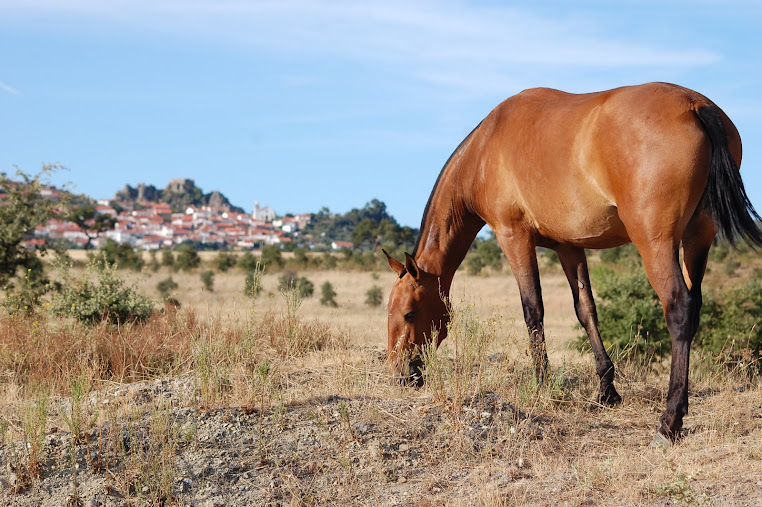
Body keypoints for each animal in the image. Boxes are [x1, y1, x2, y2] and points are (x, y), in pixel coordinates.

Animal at [386, 81, 760, 442]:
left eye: (409, 313)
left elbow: (532, 310)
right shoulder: (569, 247)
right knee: (693, 307)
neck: (484, 149)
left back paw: (669, 422)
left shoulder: (514, 238)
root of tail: (695, 106)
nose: (399, 375)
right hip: (697, 239)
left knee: (679, 309)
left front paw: (542, 384)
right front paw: (607, 391)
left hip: (656, 244)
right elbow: (586, 310)